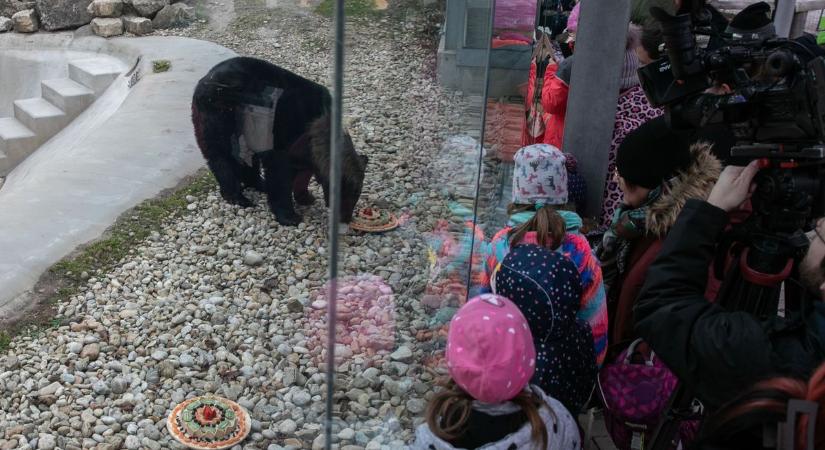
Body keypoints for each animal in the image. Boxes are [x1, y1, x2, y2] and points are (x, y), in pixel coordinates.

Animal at [192, 56, 366, 225]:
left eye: (356, 195)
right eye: (349, 194)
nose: (347, 218)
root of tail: (204, 79)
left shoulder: (305, 151)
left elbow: (303, 172)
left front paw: (305, 197)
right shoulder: (288, 135)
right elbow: (279, 174)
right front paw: (289, 216)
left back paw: (259, 183)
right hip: (220, 112)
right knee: (222, 155)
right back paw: (237, 196)